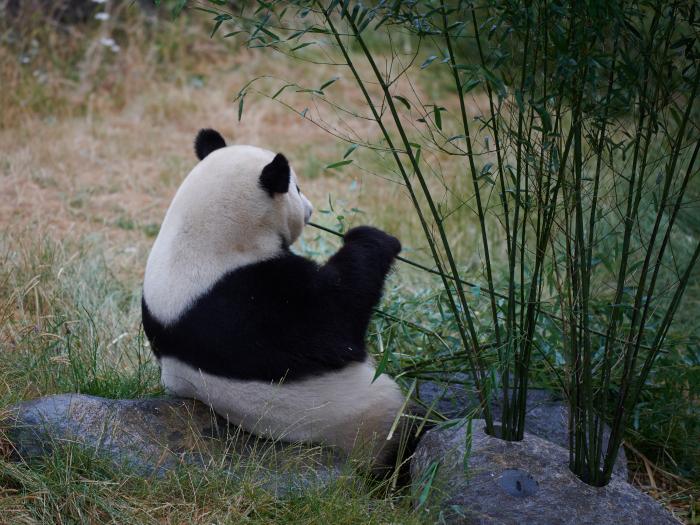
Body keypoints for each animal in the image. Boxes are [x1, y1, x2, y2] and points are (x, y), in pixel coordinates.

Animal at [142, 128, 413, 472]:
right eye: (296, 187)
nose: (310, 208)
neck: (201, 234)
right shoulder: (249, 303)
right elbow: (332, 320)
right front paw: (372, 237)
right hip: (369, 419)